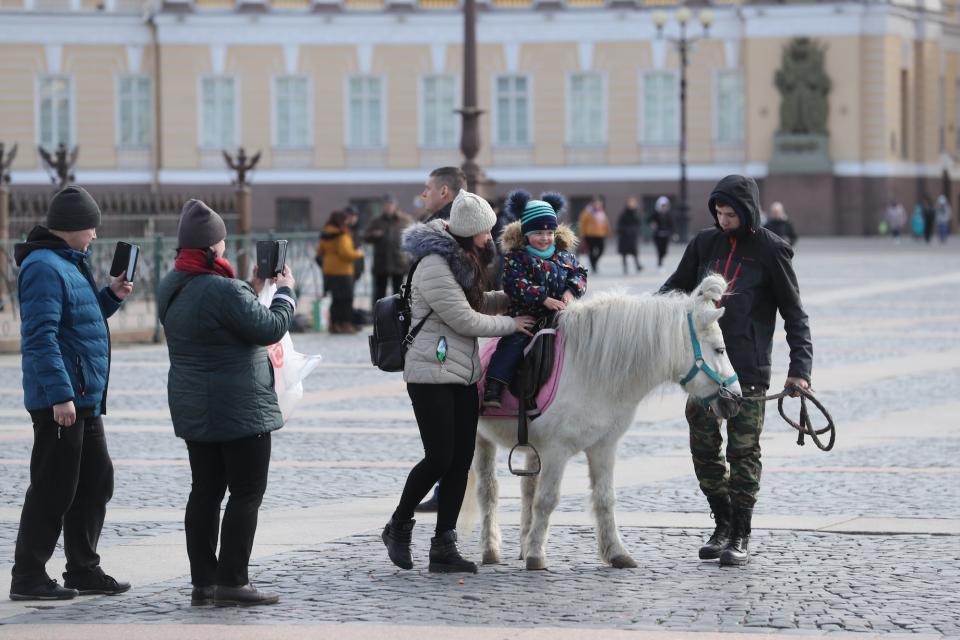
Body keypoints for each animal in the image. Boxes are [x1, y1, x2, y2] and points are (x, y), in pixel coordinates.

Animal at [468, 274, 740, 568]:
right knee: (488, 490)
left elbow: (605, 498)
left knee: (526, 488)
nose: (736, 399)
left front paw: (616, 553)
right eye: (720, 349)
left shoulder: (604, 447)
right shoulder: (556, 450)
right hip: (480, 438)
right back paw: (491, 549)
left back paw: (522, 543)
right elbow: (547, 499)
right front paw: (536, 556)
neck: (590, 370)